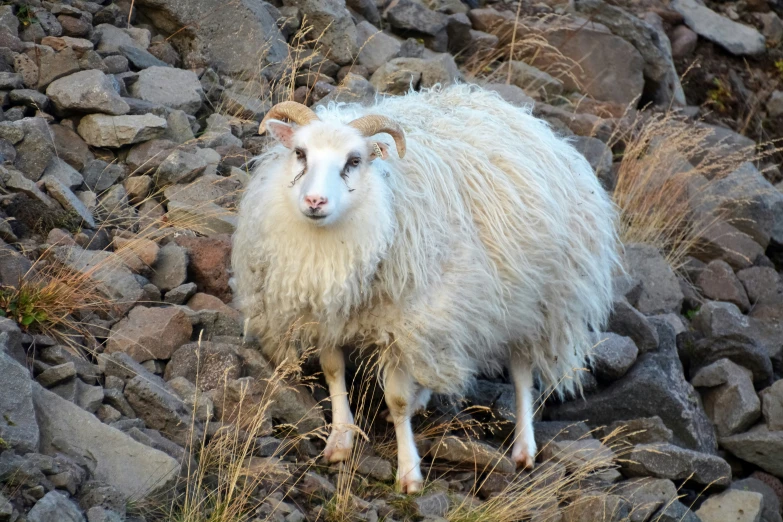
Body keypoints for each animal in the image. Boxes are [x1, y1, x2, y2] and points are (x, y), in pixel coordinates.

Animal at [230, 82, 620, 492]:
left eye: (354, 161)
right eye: (300, 153)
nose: (315, 201)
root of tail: (531, 122)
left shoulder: (403, 320)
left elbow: (397, 400)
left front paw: (409, 472)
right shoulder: (327, 312)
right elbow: (333, 370)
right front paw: (340, 438)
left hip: (535, 301)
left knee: (521, 372)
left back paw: (523, 448)